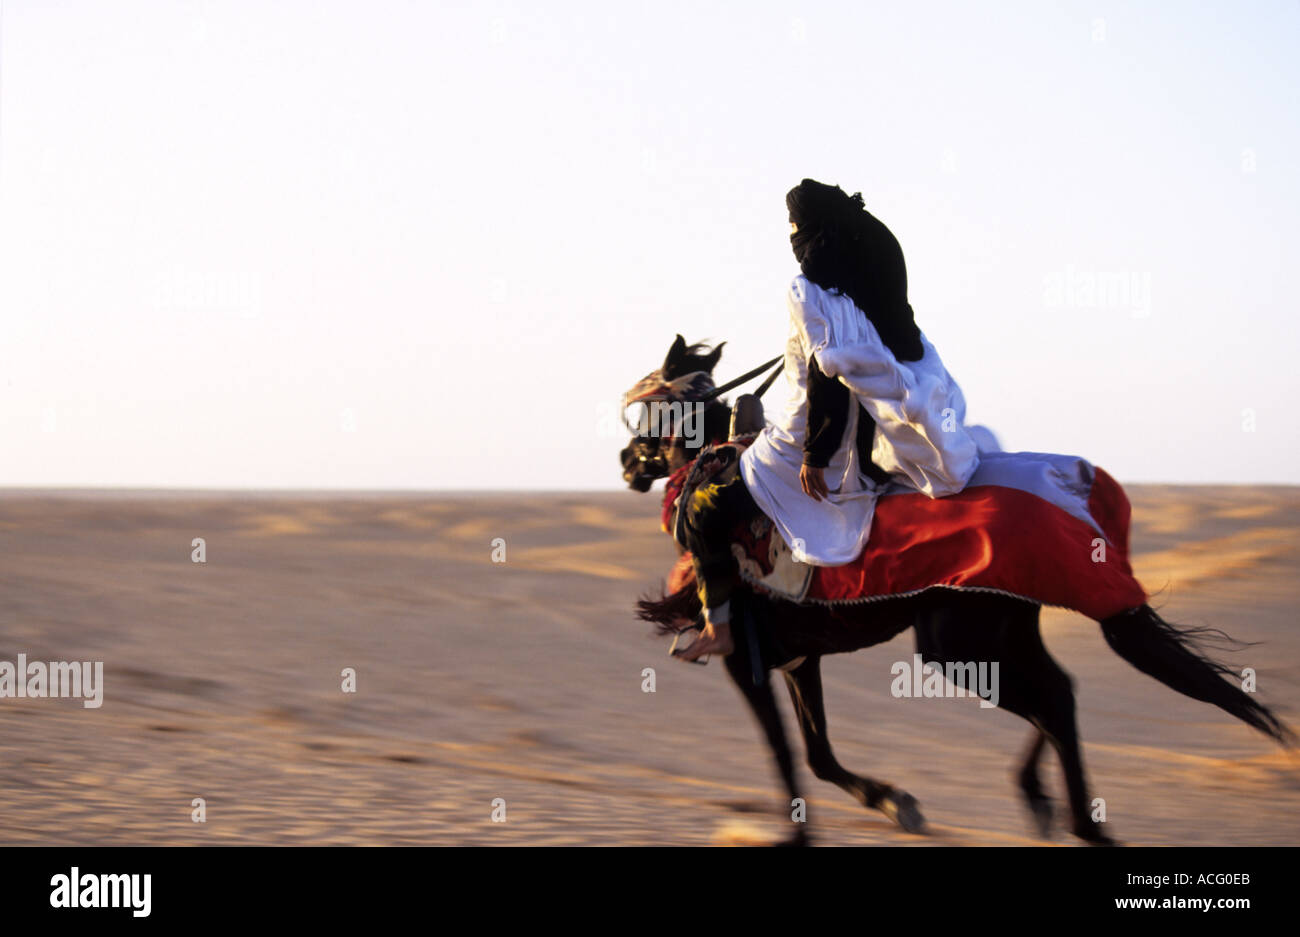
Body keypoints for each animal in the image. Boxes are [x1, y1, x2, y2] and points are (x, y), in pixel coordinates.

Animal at [621, 337, 1289, 847]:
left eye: (651, 409)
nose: (628, 461)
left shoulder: (745, 659)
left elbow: (788, 755)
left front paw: (806, 833)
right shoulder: (797, 656)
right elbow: (817, 753)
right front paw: (895, 802)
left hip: (959, 644)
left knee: (1052, 699)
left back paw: (1081, 822)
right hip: (997, 632)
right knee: (1059, 693)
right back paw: (1045, 802)